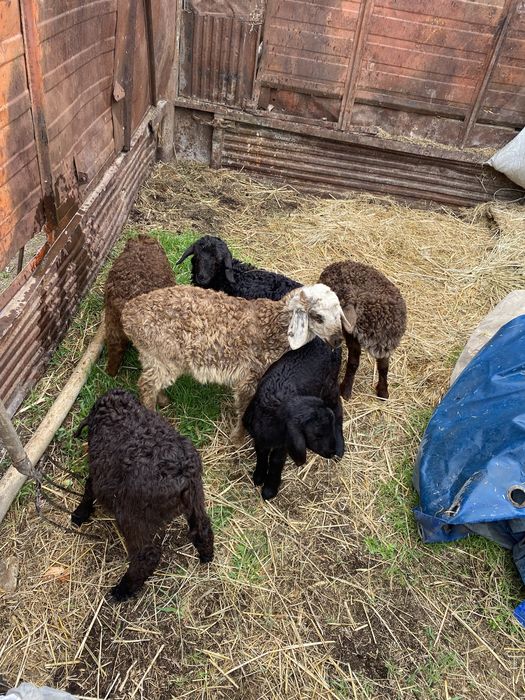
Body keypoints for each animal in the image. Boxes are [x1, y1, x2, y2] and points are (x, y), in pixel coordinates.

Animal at [71, 389, 214, 602]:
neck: (120, 412)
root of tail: (181, 473)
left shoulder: (99, 474)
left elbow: (89, 489)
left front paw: (79, 515)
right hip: (196, 496)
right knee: (202, 528)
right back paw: (207, 556)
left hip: (132, 513)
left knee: (147, 555)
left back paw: (122, 591)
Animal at [120, 283, 353, 441]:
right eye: (317, 317)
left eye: (338, 315)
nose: (337, 340)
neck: (272, 327)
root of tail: (127, 314)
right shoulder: (250, 376)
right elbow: (244, 408)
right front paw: (238, 439)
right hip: (163, 355)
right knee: (146, 385)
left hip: (152, 357)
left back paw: (163, 400)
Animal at [242, 337, 345, 500]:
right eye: (317, 434)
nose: (331, 452)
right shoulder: (259, 437)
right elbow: (261, 453)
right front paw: (258, 476)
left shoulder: (284, 444)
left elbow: (276, 462)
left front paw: (269, 490)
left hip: (330, 383)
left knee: (337, 408)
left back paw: (340, 448)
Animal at [319, 260, 407, 400]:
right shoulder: (352, 337)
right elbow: (353, 363)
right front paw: (346, 390)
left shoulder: (387, 344)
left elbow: (384, 367)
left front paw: (383, 392)